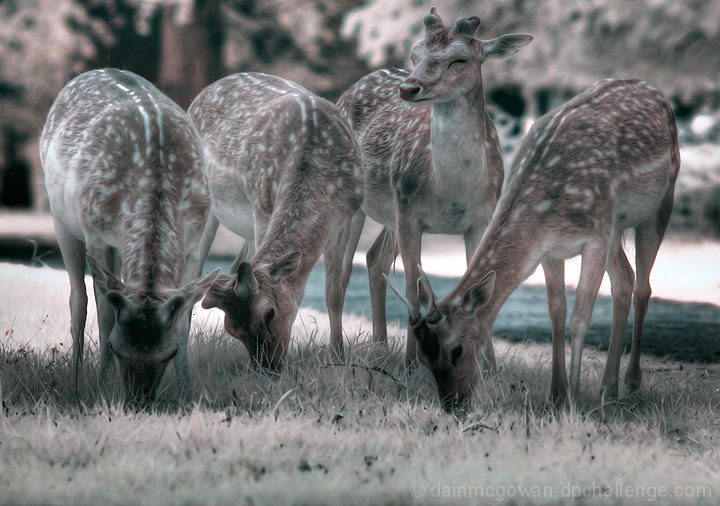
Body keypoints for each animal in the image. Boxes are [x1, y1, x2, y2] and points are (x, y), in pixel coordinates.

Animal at [39, 68, 220, 405]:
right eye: (115, 346)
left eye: (168, 352)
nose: (138, 402)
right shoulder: (96, 235)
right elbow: (106, 314)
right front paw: (101, 384)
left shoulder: (193, 242)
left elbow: (185, 317)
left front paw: (187, 389)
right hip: (62, 219)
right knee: (78, 300)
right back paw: (76, 380)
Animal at [188, 72, 363, 371]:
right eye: (234, 330)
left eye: (269, 313)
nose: (267, 368)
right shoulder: (262, 207)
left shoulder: (346, 218)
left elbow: (334, 293)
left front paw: (338, 356)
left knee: (231, 266)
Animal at [337, 8, 532, 365]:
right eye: (415, 54)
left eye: (460, 59)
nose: (409, 88)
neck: (452, 189)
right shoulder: (409, 213)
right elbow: (414, 288)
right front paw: (413, 363)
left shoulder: (481, 217)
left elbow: (480, 286)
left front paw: (489, 366)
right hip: (359, 201)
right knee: (342, 272)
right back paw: (341, 350)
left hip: (390, 214)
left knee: (374, 259)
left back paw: (380, 345)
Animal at [387, 78, 680, 412]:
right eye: (424, 358)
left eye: (457, 349)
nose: (452, 404)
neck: (547, 208)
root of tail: (657, 93)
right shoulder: (550, 249)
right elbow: (557, 312)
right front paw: (556, 395)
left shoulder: (595, 238)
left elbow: (580, 317)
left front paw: (573, 399)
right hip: (615, 228)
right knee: (625, 279)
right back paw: (608, 388)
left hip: (660, 201)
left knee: (643, 286)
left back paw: (631, 384)